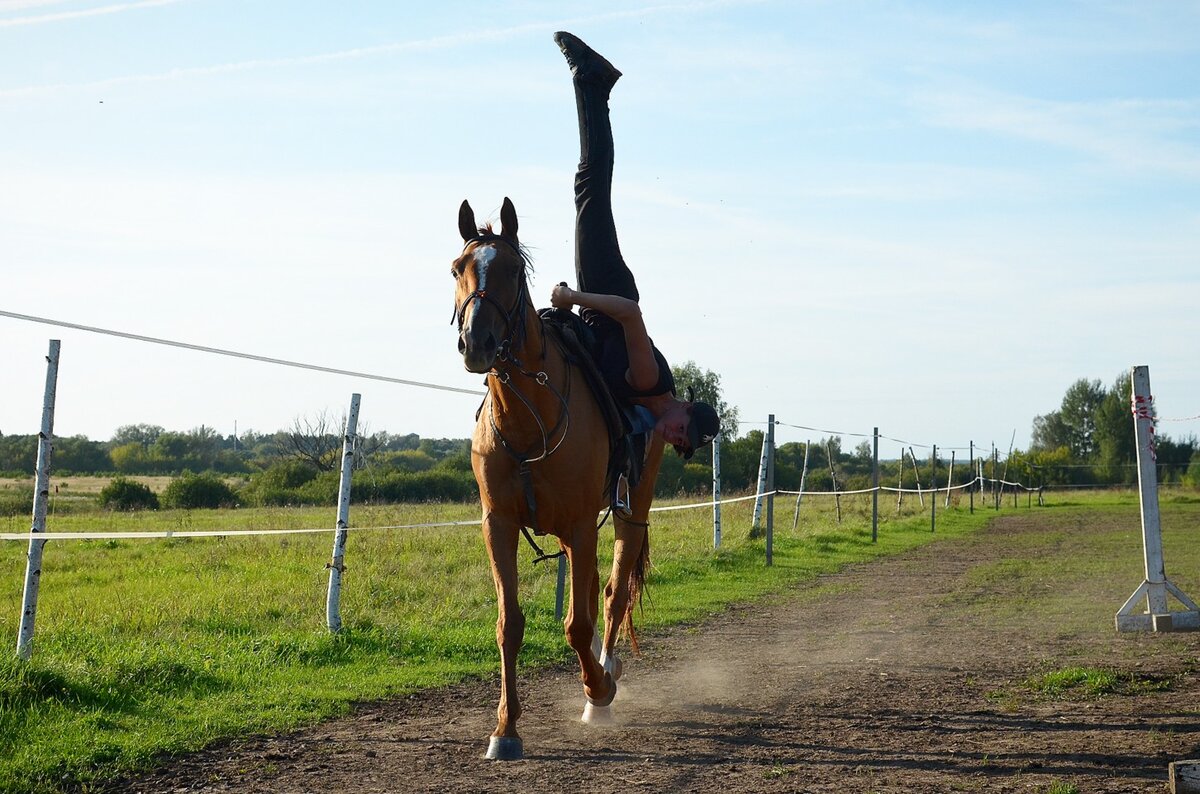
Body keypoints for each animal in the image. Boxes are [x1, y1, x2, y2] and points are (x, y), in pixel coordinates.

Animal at [451, 195, 667, 762]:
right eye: (458, 267)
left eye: (511, 269)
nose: (476, 341)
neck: (529, 419)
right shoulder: (499, 526)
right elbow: (510, 624)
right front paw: (506, 729)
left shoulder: (578, 525)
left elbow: (578, 623)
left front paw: (599, 689)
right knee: (592, 591)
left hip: (629, 510)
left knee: (612, 593)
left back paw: (603, 681)